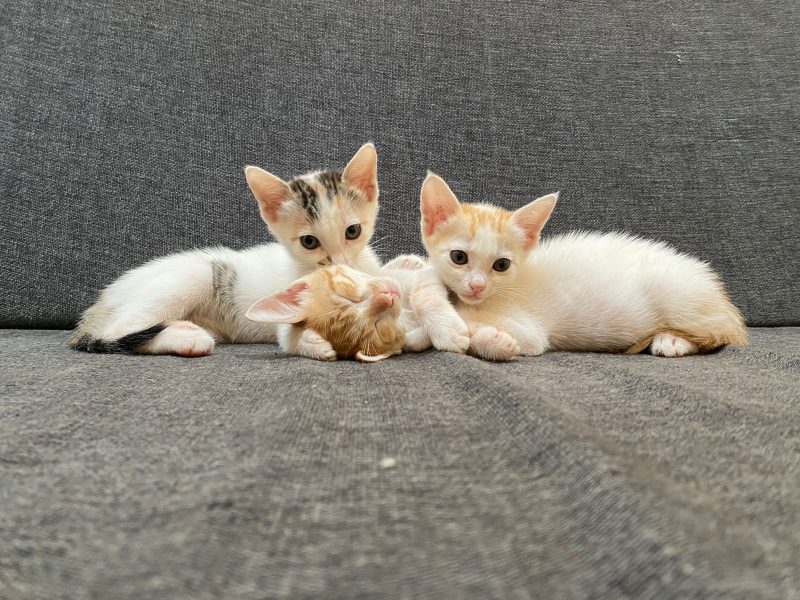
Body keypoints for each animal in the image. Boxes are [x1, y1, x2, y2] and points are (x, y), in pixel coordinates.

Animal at [69, 143, 382, 361]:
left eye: (352, 231)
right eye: (309, 242)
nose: (340, 264)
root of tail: (101, 301)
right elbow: (286, 334)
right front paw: (313, 342)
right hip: (195, 275)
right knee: (118, 331)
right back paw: (187, 338)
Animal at [419, 172, 748, 361]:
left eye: (501, 265)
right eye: (459, 257)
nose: (477, 286)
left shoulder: (530, 331)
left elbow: (480, 333)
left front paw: (488, 340)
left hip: (679, 297)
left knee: (718, 335)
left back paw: (673, 341)